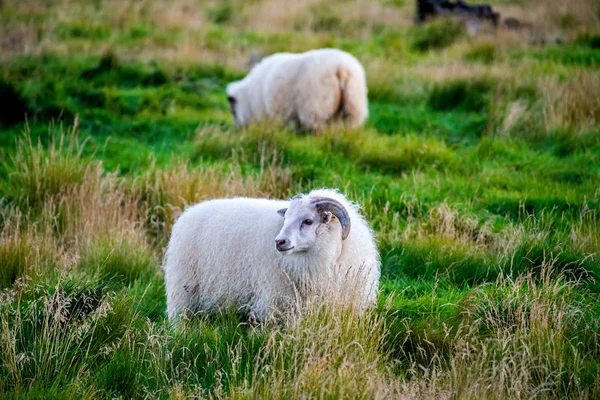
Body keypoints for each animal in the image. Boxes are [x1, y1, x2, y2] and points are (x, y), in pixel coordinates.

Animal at [164, 189, 380, 324]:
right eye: (286, 219)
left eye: (308, 221)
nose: (279, 242)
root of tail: (188, 214)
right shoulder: (276, 299)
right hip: (183, 288)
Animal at [225, 48, 368, 131]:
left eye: (233, 112)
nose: (237, 129)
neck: (248, 98)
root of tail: (341, 68)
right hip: (353, 105)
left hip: (317, 106)